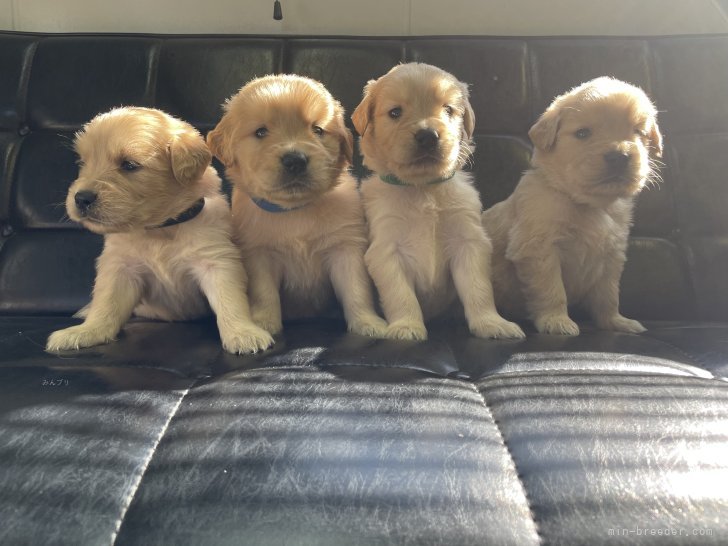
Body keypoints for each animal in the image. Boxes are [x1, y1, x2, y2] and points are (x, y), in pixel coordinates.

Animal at [45, 106, 272, 352]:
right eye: (83, 162)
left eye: (129, 165)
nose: (81, 198)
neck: (159, 228)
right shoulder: (120, 267)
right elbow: (106, 303)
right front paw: (86, 331)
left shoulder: (216, 260)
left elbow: (229, 300)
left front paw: (243, 332)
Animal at [205, 74, 386, 334]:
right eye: (261, 132)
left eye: (317, 130)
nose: (295, 161)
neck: (295, 210)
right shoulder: (259, 254)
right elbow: (264, 293)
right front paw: (264, 322)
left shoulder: (345, 248)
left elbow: (356, 290)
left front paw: (368, 322)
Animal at [352, 61, 524, 338]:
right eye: (395, 112)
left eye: (448, 110)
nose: (427, 136)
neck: (422, 189)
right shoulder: (386, 250)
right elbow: (400, 295)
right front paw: (407, 326)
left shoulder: (468, 242)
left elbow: (478, 290)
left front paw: (491, 323)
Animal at [480, 75, 664, 332]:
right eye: (583, 133)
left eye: (638, 132)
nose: (619, 157)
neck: (586, 202)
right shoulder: (538, 248)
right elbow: (552, 290)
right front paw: (557, 321)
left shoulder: (611, 256)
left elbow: (608, 295)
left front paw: (616, 321)